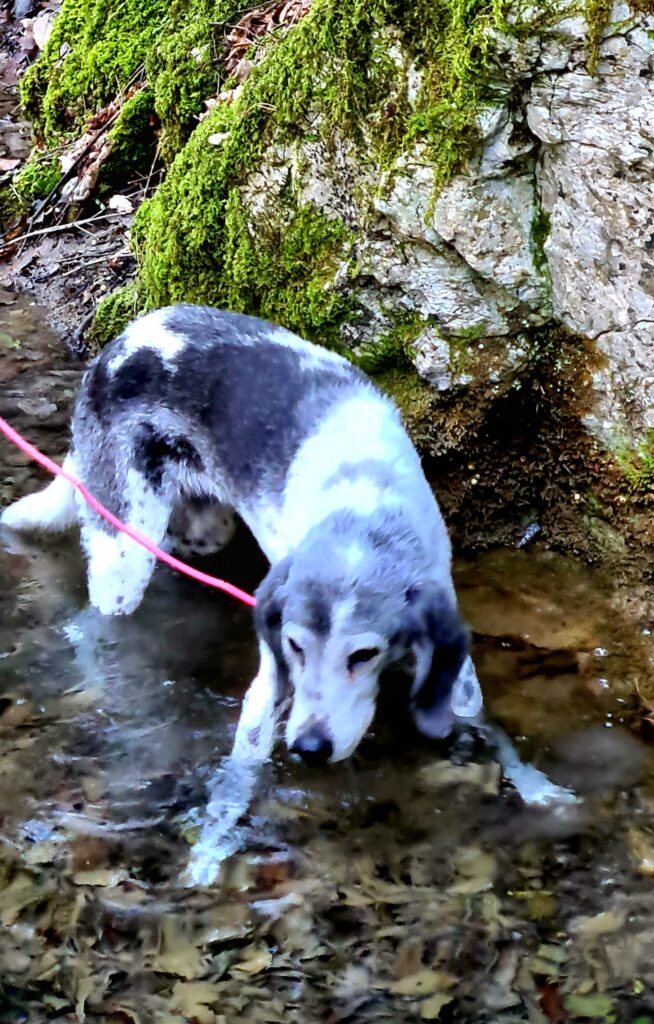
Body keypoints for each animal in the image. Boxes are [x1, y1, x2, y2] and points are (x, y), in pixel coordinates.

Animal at [0, 303, 483, 765]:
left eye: (364, 654)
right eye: (294, 646)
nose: (309, 749)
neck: (364, 504)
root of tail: (113, 348)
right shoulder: (272, 671)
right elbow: (249, 756)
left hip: (205, 529)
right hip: (124, 553)